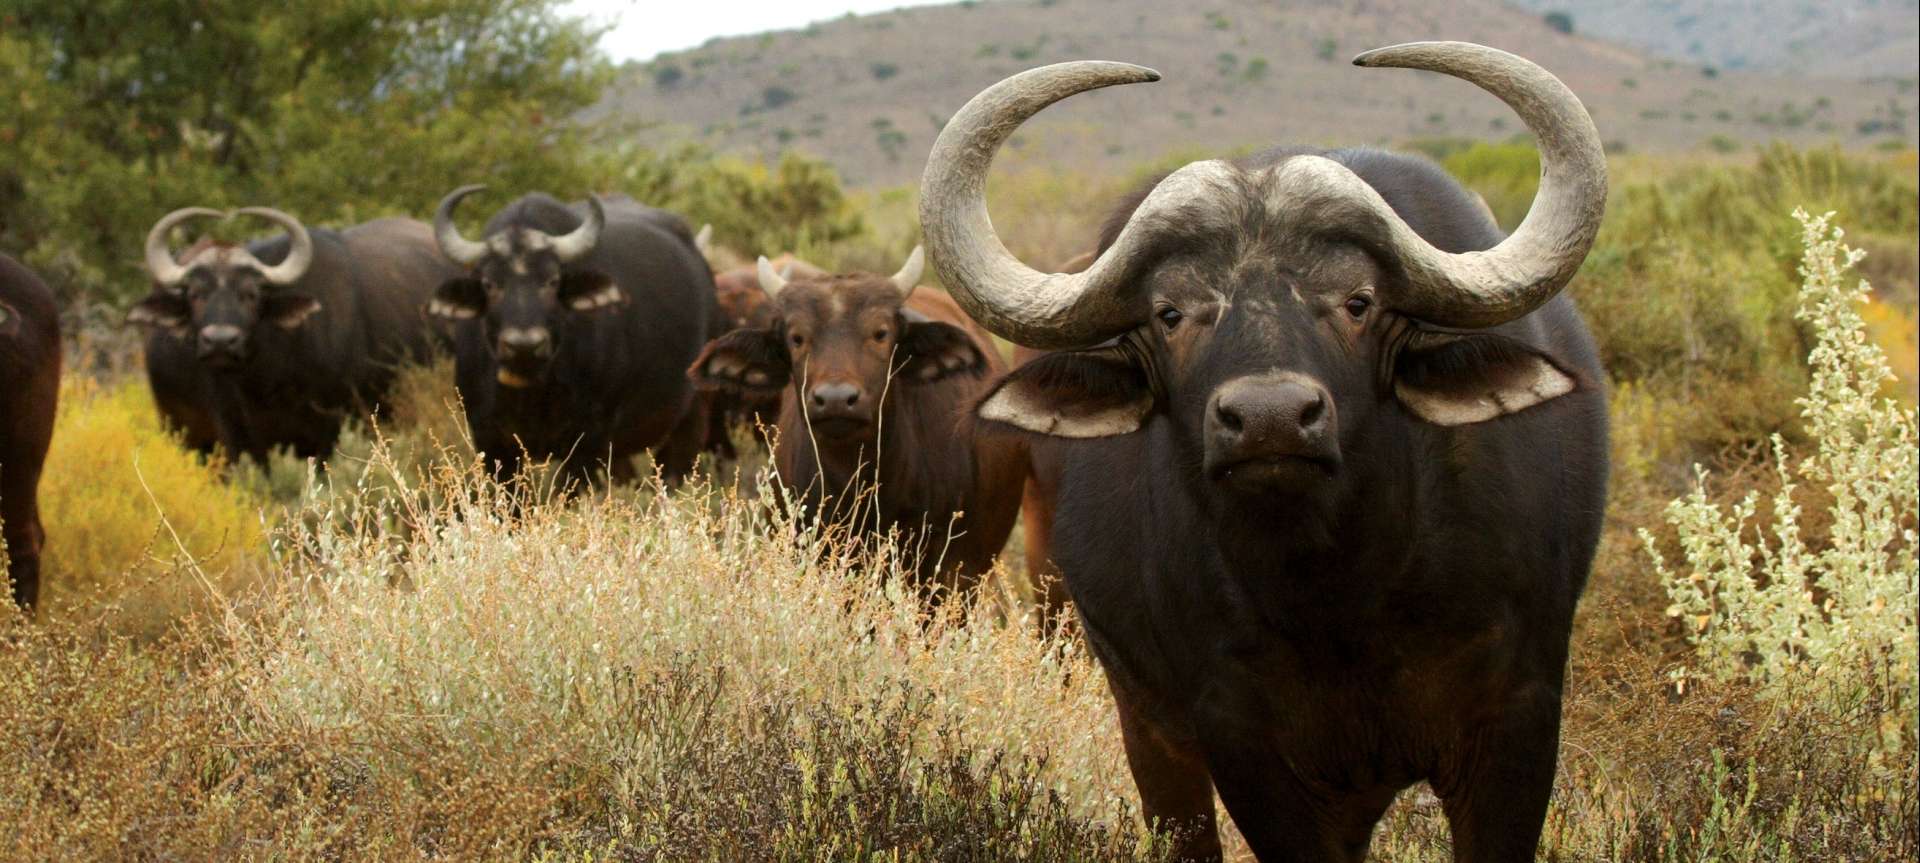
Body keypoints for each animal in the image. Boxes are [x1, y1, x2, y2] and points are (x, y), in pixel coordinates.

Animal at [428, 188, 721, 484]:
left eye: (552, 281)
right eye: (489, 284)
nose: (524, 345)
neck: (533, 390)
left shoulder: (590, 440)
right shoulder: (489, 438)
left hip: (692, 416)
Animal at [921, 42, 1612, 861]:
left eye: (1358, 301)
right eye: (1171, 312)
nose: (1271, 419)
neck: (1340, 596)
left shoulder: (1519, 721)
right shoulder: (1244, 746)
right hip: (1145, 722)